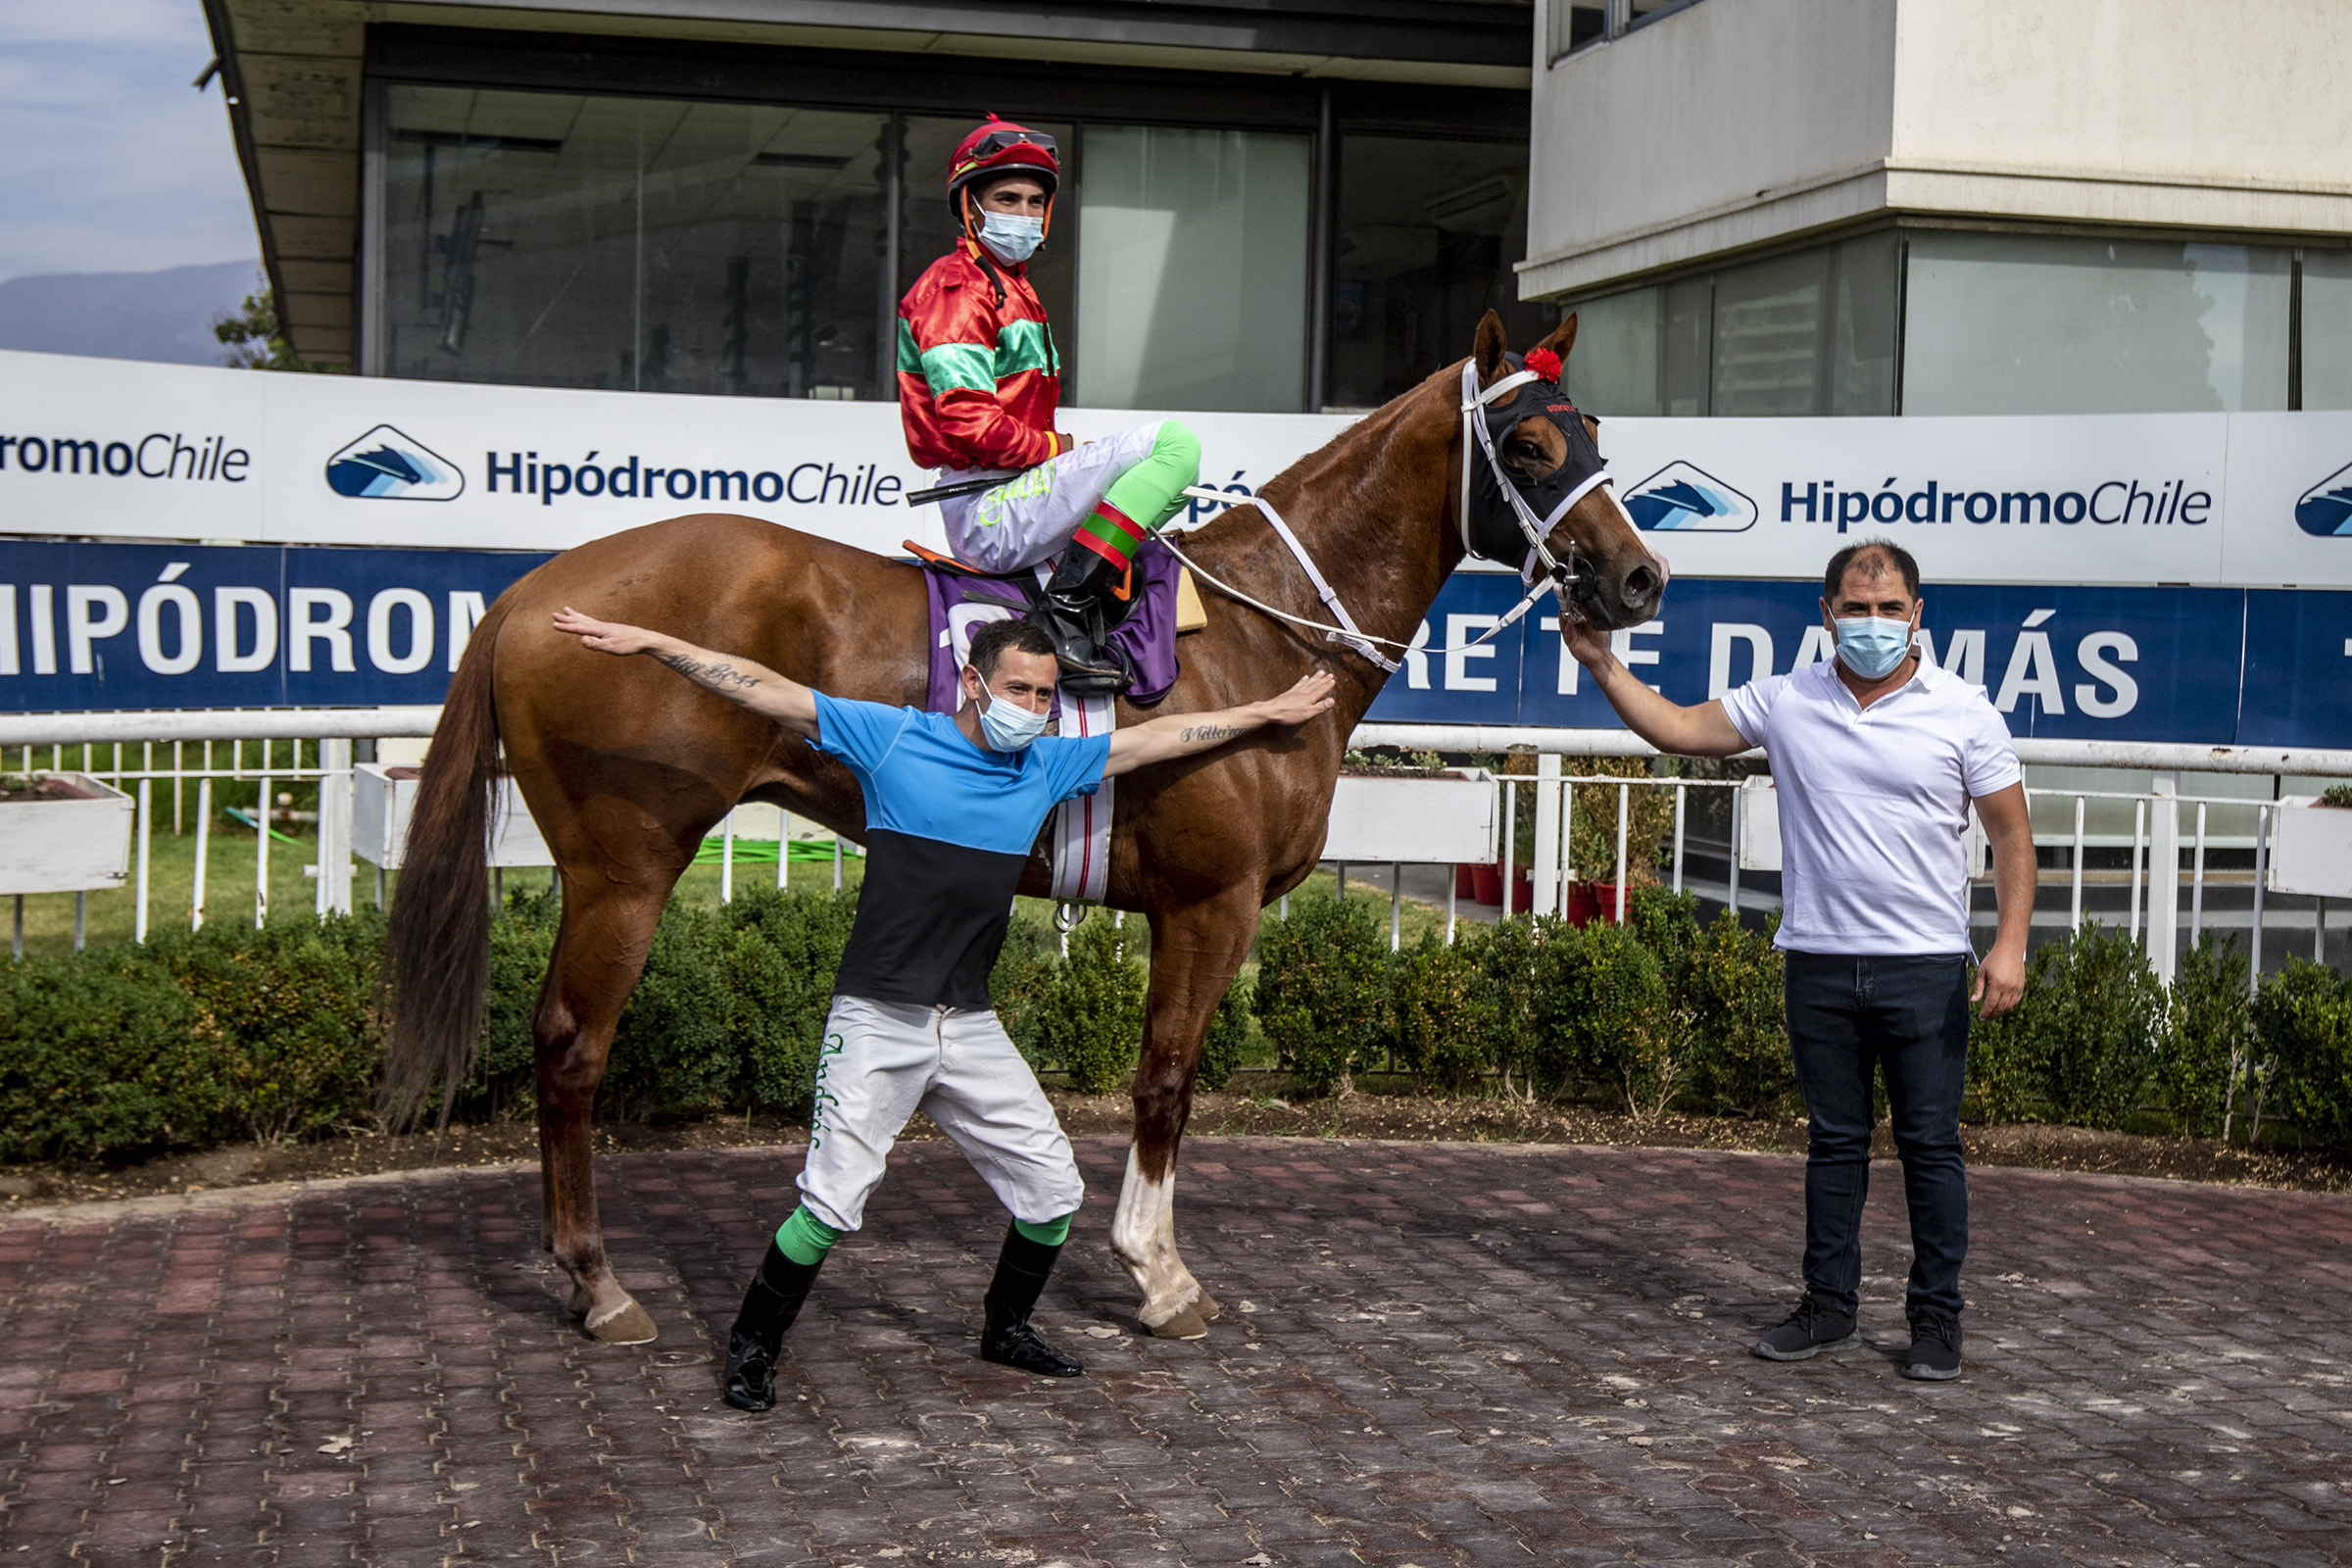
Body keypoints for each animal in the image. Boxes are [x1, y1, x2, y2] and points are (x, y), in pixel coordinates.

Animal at [381, 308, 1664, 1345]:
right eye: (1532, 445)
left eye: (1595, 428)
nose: (1641, 579)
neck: (1269, 629)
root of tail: (531, 593)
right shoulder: (1211, 903)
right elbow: (1167, 1080)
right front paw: (1157, 1273)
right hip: (627, 867)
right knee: (569, 1047)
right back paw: (597, 1283)